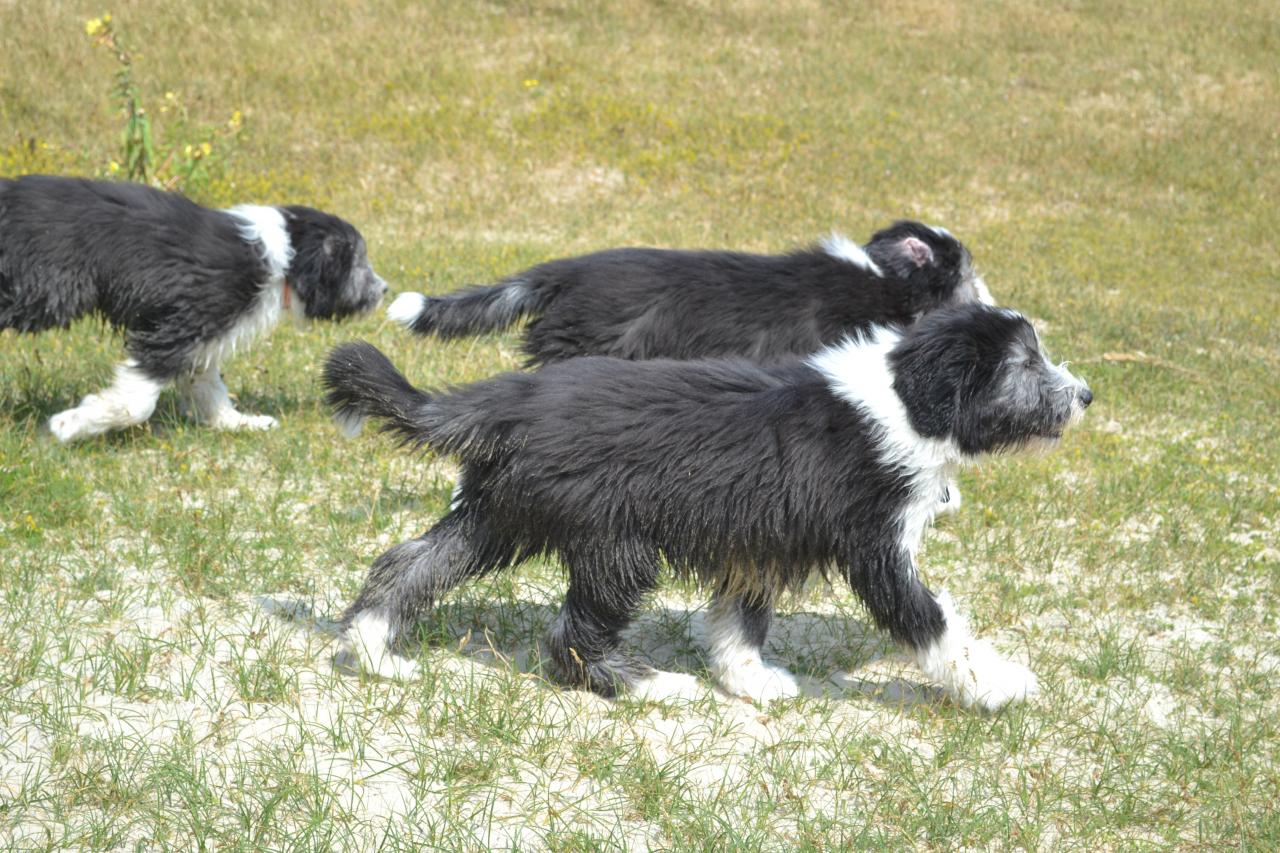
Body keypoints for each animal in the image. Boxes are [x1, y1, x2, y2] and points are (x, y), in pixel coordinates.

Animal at [1, 172, 389, 438]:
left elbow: (207, 383)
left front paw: (237, 422)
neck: (283, 253)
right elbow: (136, 402)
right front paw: (70, 425)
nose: (384, 289)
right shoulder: (179, 325)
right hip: (40, 290)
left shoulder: (204, 333)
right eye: (359, 261)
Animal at [320, 302, 1090, 706]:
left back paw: (374, 651)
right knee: (570, 632)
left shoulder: (757, 531)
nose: (1085, 395)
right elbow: (933, 620)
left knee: (411, 562)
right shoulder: (877, 543)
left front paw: (750, 679)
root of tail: (515, 396)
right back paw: (650, 685)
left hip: (497, 512)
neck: (903, 399)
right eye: (1025, 365)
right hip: (615, 538)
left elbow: (741, 617)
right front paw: (998, 682)